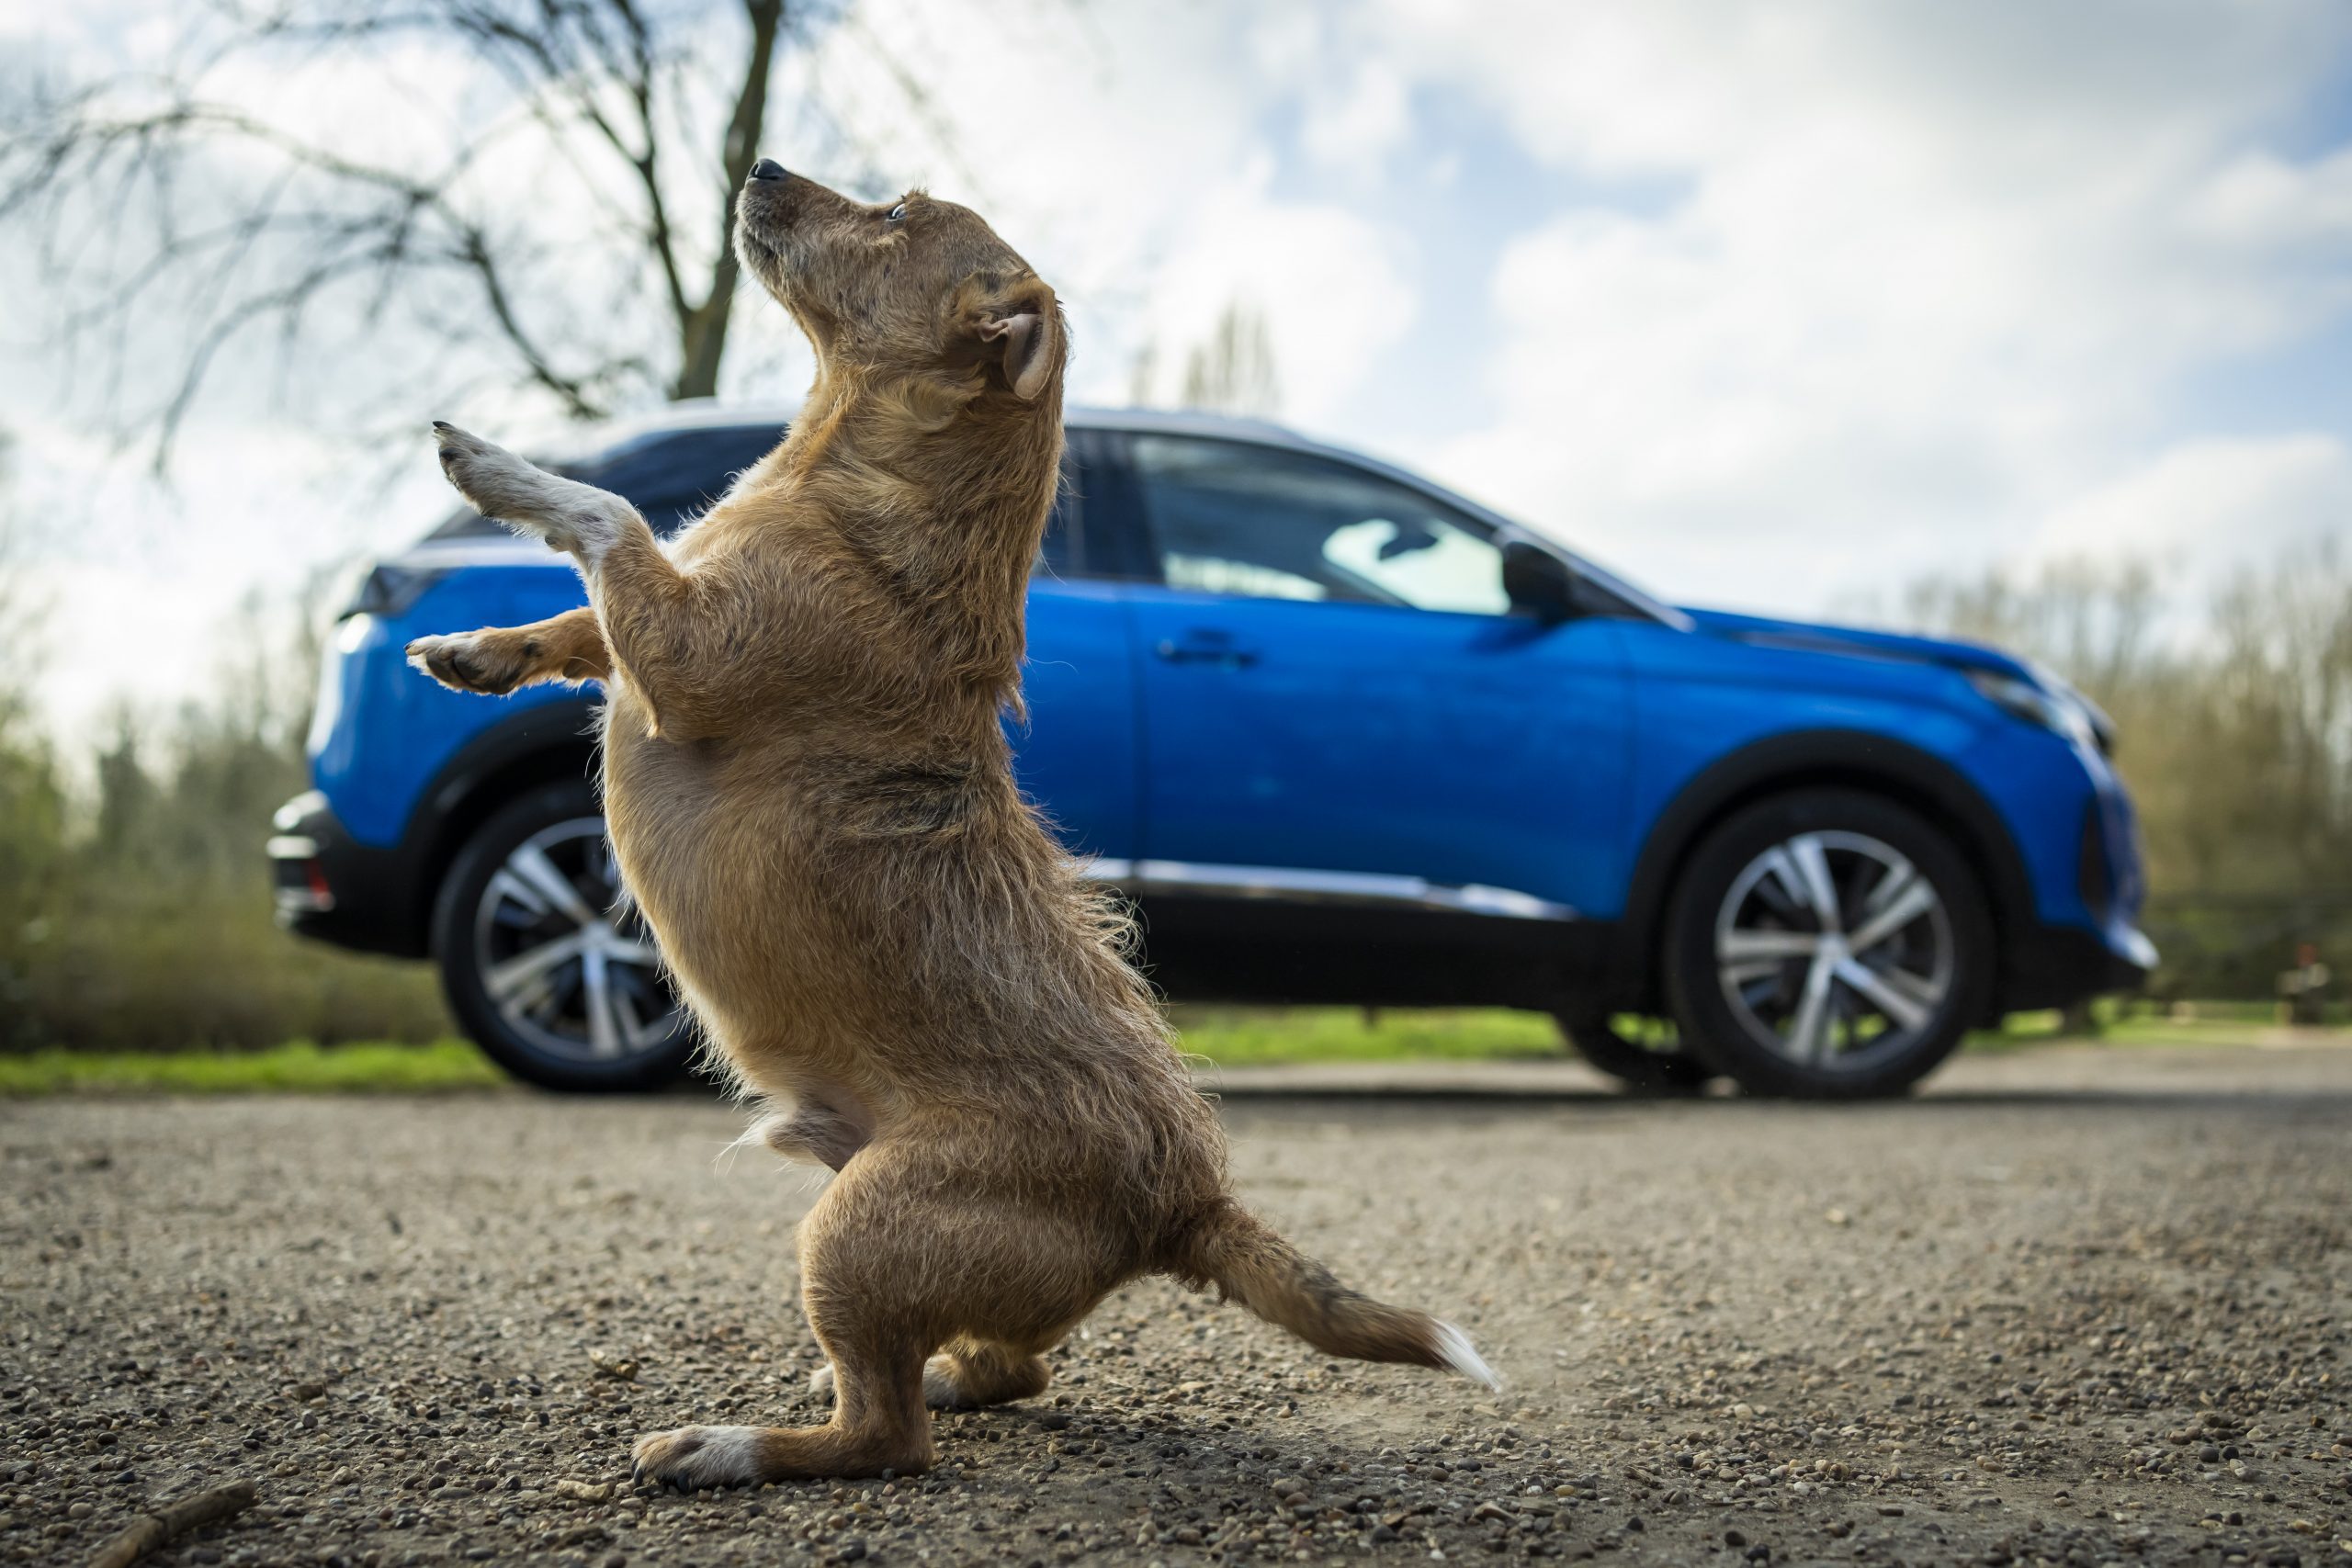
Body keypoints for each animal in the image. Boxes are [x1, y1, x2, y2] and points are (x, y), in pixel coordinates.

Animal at [401, 162, 1486, 1495]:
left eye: (899, 215)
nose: (759, 168)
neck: (834, 474)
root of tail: (1187, 1203)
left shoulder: (689, 654)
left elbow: (609, 516)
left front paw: (496, 468)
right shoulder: (662, 623)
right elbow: (589, 611)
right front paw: (482, 646)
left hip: (852, 1230)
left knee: (884, 1433)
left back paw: (729, 1445)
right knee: (1011, 1368)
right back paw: (947, 1375)